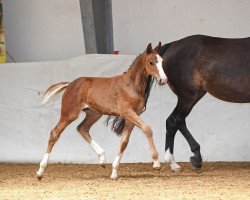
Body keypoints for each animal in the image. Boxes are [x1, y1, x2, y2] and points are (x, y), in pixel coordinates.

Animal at [36, 42, 166, 180]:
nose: (164, 80)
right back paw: (40, 171)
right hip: (69, 114)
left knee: (82, 128)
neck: (131, 85)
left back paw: (102, 160)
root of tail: (69, 84)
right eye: (151, 62)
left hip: (94, 114)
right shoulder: (128, 113)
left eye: (162, 61)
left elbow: (124, 142)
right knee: (55, 133)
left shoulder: (132, 117)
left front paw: (114, 172)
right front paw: (156, 164)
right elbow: (147, 129)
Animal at [160, 35, 250, 171]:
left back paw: (192, 158)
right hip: (188, 96)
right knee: (174, 120)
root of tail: (173, 45)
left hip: (195, 95)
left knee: (177, 121)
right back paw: (176, 162)